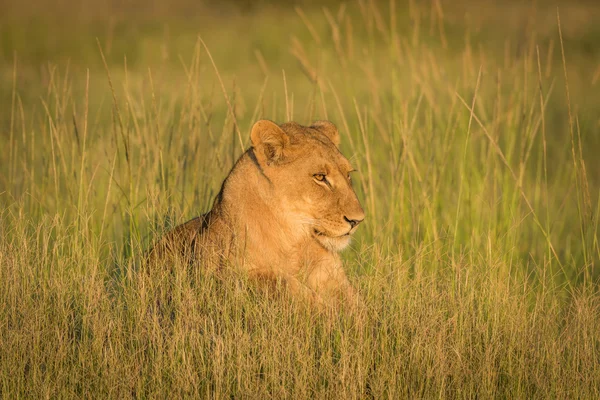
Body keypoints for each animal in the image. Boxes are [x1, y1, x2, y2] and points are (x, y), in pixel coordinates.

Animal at [149, 119, 366, 306]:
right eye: (320, 177)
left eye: (348, 174)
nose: (357, 221)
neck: (295, 242)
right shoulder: (220, 277)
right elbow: (282, 284)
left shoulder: (335, 279)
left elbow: (359, 307)